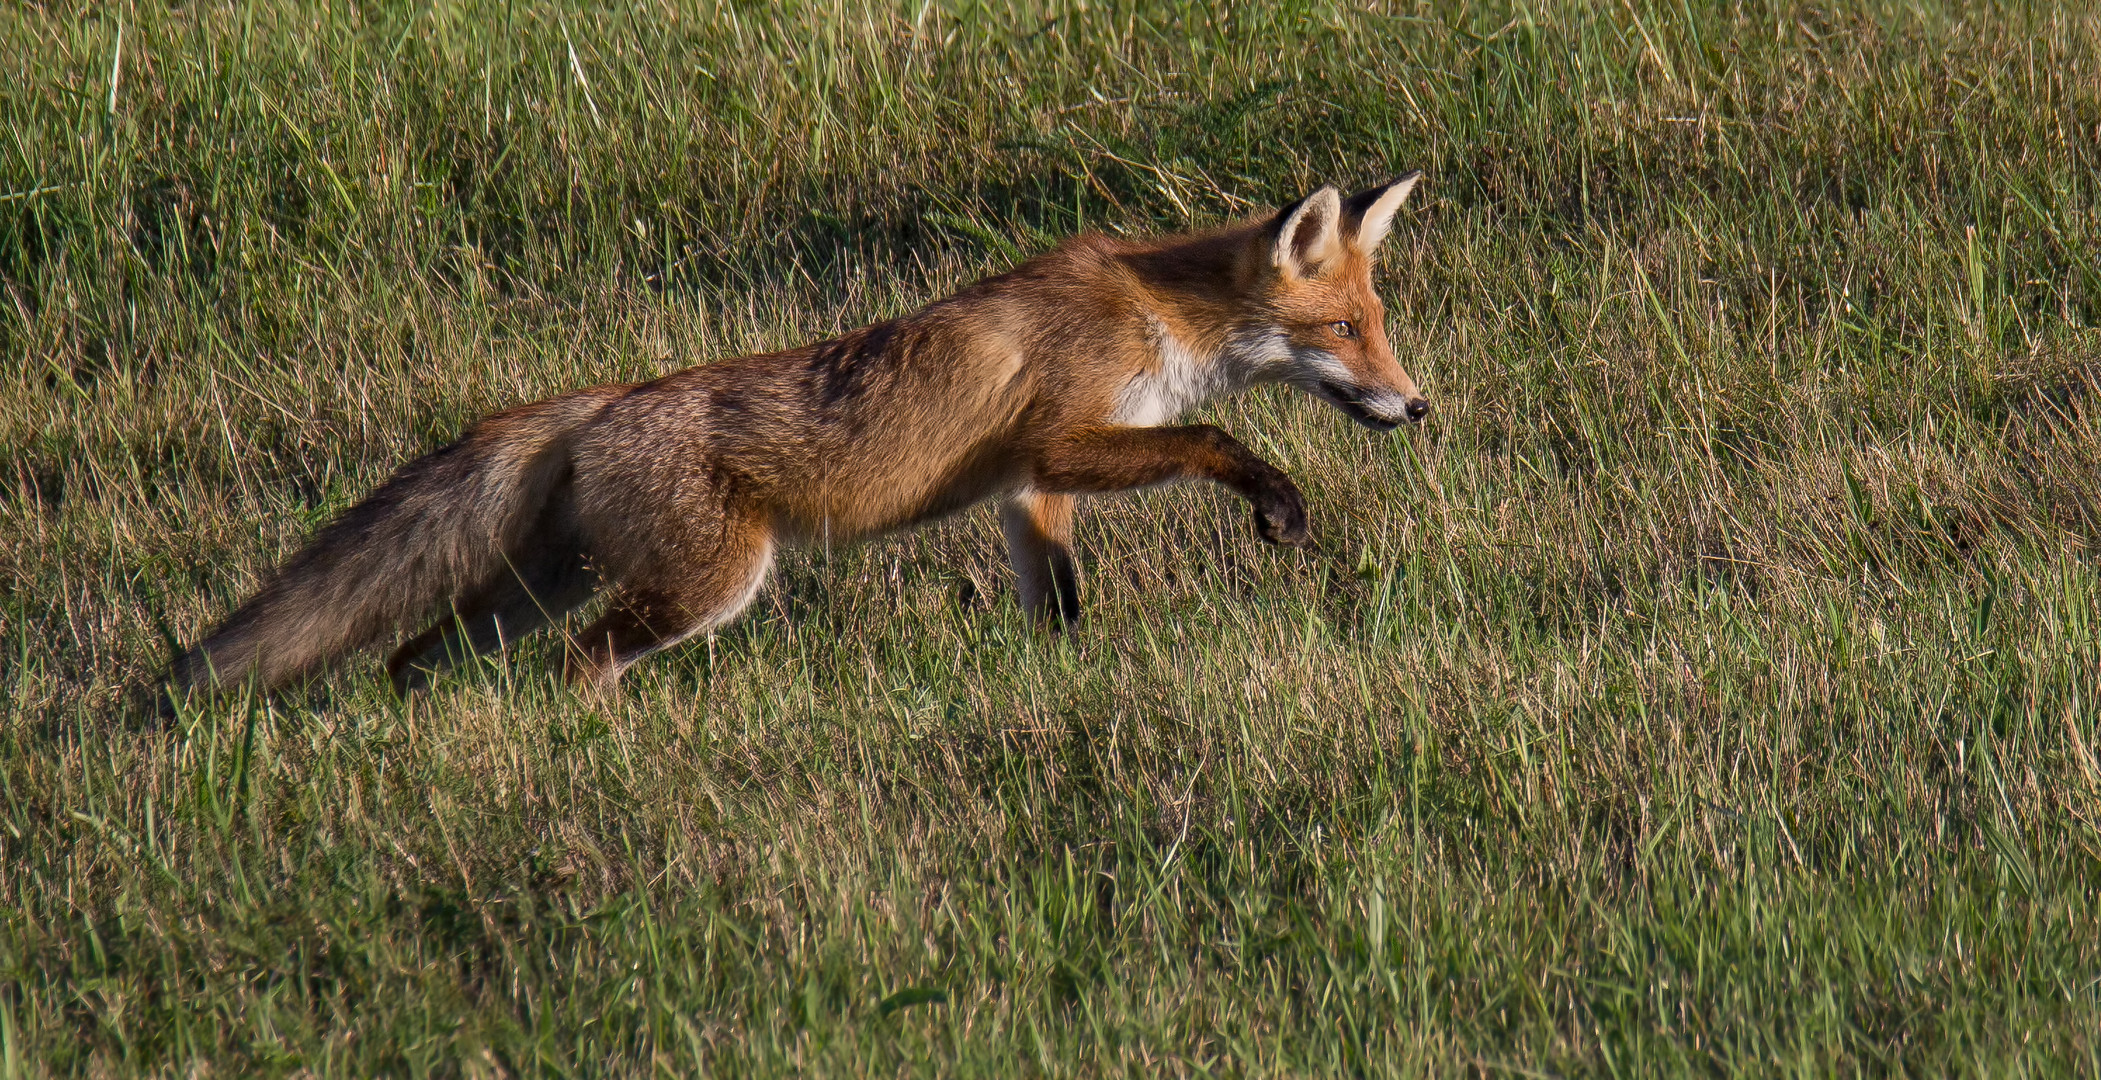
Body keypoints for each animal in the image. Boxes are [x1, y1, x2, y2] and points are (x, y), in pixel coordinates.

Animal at [166, 174, 1431, 698]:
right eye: (1345, 331)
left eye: (1379, 325)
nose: (1417, 405)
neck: (1151, 312)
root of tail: (600, 399)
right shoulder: (1065, 440)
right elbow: (1215, 439)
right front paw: (1277, 502)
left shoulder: (1027, 490)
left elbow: (1058, 600)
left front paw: (1061, 678)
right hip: (703, 586)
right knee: (579, 667)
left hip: (546, 583)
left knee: (414, 657)